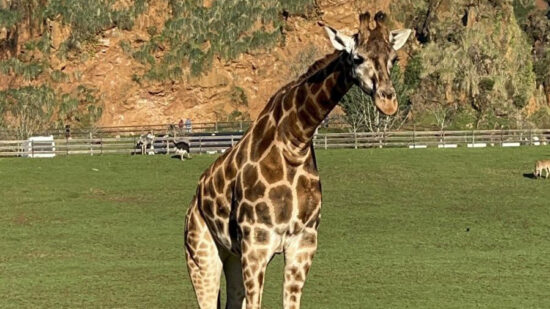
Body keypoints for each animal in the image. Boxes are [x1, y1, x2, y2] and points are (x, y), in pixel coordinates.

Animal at [185, 10, 414, 306]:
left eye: (394, 58)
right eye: (357, 58)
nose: (388, 102)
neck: (294, 141)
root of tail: (196, 196)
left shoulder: (304, 240)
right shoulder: (256, 243)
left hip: (232, 255)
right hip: (201, 252)